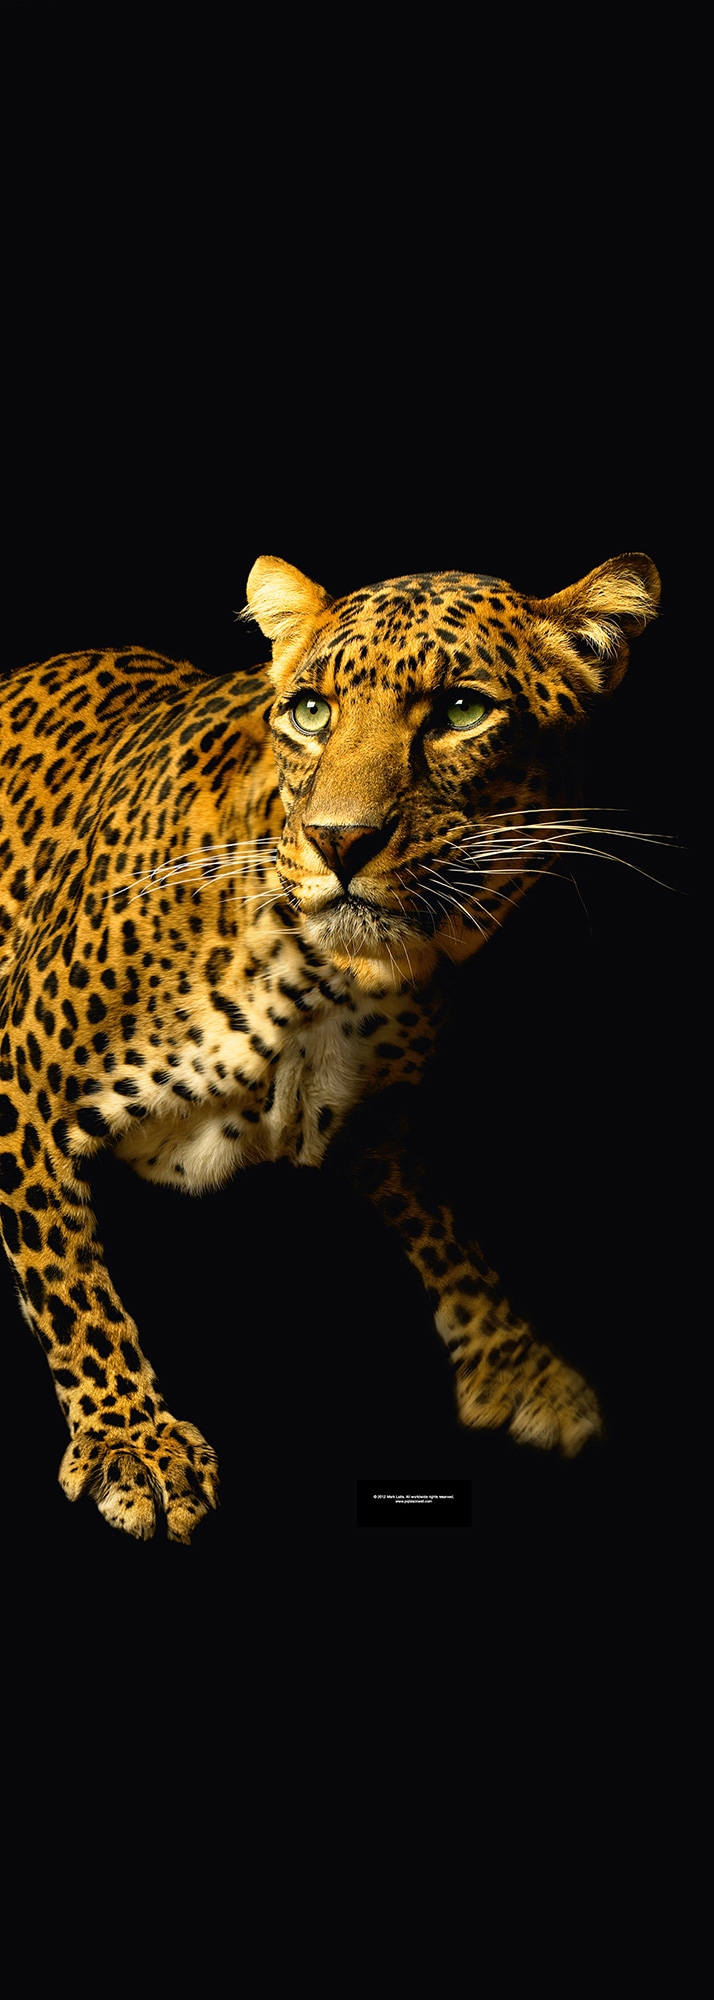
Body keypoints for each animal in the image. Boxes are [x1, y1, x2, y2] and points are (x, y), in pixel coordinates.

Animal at [0, 550, 660, 1542]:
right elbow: (68, 1278)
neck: (319, 979)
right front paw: (132, 1441)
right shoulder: (25, 1080)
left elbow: (441, 1221)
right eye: (310, 711)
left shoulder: (370, 1117)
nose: (338, 840)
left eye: (461, 710)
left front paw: (513, 1361)